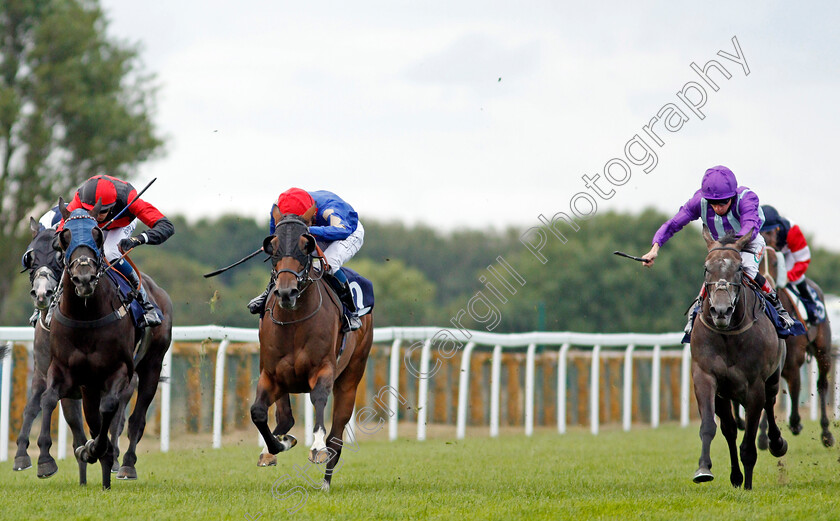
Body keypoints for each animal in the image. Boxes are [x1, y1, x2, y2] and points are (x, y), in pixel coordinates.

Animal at [37, 199, 173, 488]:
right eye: (64, 237)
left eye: (97, 234)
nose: (84, 278)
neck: (86, 315)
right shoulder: (64, 369)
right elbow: (49, 398)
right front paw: (45, 459)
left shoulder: (118, 370)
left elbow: (109, 410)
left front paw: (97, 450)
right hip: (89, 384)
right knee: (93, 418)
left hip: (151, 365)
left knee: (135, 420)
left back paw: (125, 465)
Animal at [249, 209, 374, 490]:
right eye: (272, 247)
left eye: (305, 246)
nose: (286, 291)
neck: (294, 321)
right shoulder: (271, 375)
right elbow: (258, 412)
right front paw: (277, 446)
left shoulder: (323, 369)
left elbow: (318, 399)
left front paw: (316, 447)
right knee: (285, 418)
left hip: (350, 379)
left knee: (336, 437)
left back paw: (326, 482)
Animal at [688, 226, 788, 488]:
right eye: (706, 268)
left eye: (739, 269)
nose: (721, 311)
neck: (727, 336)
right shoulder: (705, 377)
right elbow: (710, 427)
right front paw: (704, 469)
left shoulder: (754, 386)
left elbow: (749, 443)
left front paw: (749, 486)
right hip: (725, 394)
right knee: (730, 429)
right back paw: (735, 476)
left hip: (773, 378)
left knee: (770, 405)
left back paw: (776, 443)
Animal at [756, 246, 832, 444]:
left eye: (776, 262)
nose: (765, 284)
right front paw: (763, 435)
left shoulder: (793, 363)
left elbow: (796, 388)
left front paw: (796, 422)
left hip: (823, 351)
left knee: (822, 384)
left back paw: (826, 432)